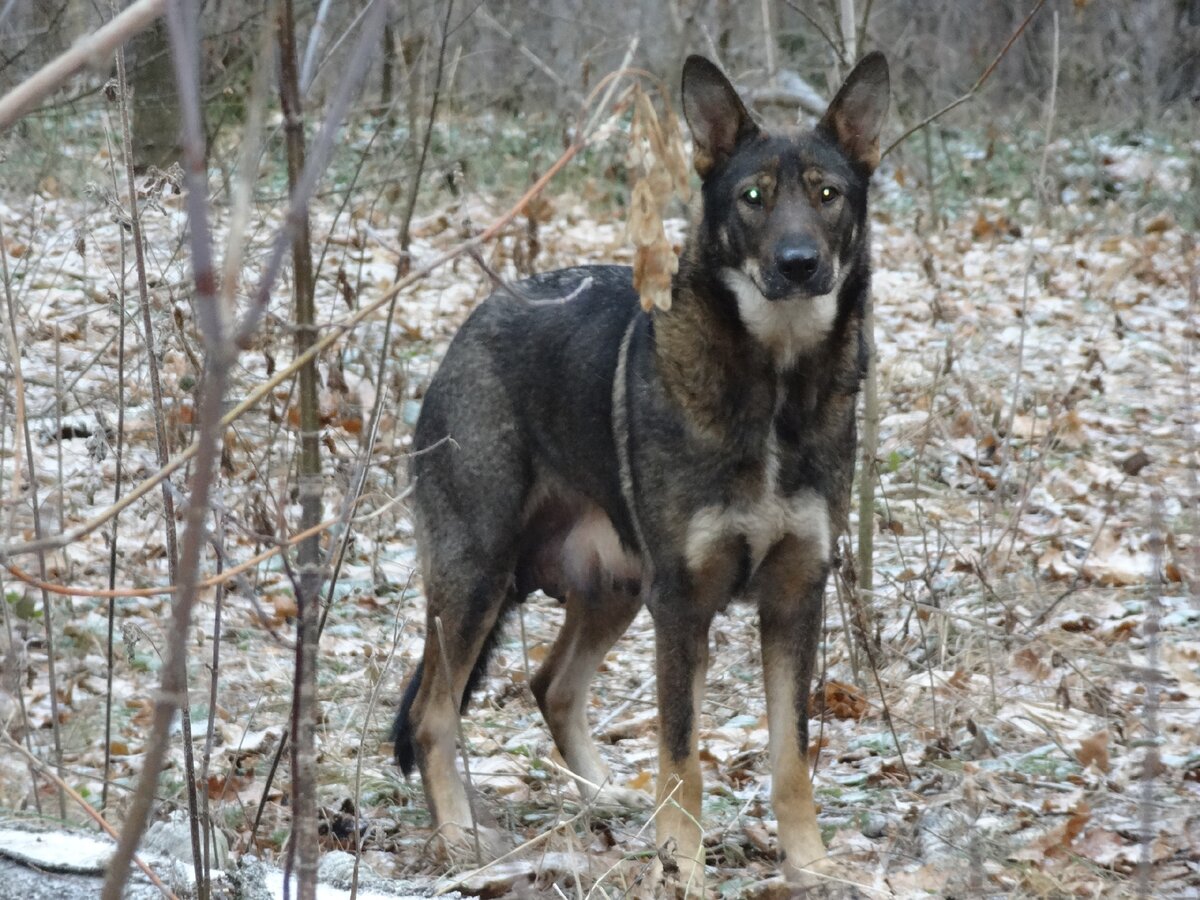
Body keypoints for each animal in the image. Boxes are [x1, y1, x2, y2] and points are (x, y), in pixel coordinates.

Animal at [393, 51, 892, 897]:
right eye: (754, 198)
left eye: (827, 194)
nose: (799, 265)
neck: (775, 385)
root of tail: (471, 323)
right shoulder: (683, 606)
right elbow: (682, 758)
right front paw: (682, 867)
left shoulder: (794, 599)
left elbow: (791, 761)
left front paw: (812, 866)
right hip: (479, 580)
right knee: (436, 714)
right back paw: (462, 844)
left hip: (614, 589)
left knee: (552, 686)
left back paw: (608, 804)